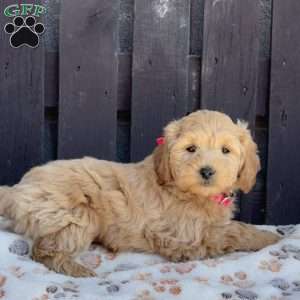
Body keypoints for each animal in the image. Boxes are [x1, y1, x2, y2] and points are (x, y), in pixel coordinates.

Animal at [0, 109, 278, 276]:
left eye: (225, 151)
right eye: (190, 149)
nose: (207, 171)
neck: (190, 193)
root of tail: (17, 190)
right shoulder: (184, 235)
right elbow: (235, 231)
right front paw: (270, 238)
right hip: (77, 214)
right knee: (43, 249)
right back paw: (76, 269)